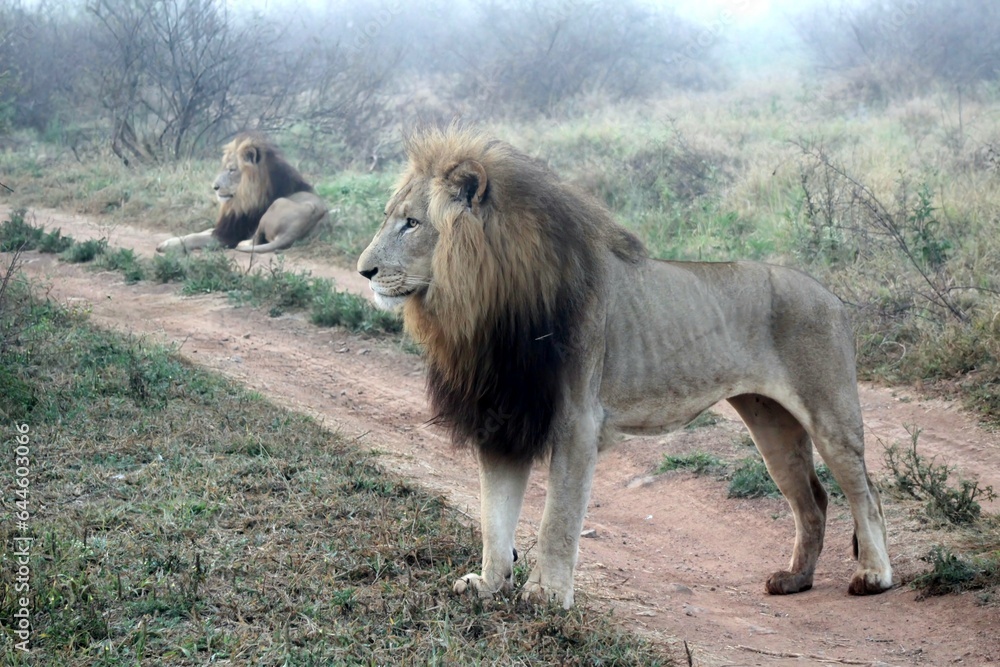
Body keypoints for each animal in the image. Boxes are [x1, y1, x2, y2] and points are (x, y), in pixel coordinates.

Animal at [156, 133, 327, 254]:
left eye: (232, 170)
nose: (214, 187)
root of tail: (293, 231)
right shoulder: (225, 227)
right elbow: (202, 231)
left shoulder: (228, 236)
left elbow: (195, 237)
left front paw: (167, 245)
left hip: (276, 204)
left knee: (256, 240)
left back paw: (243, 243)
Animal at [357, 127, 893, 609]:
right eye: (390, 219)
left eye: (411, 223)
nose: (364, 271)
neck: (484, 307)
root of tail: (834, 298)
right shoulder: (503, 417)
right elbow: (494, 515)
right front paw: (490, 586)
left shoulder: (576, 422)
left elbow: (556, 520)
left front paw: (547, 596)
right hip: (770, 422)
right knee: (812, 500)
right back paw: (795, 579)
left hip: (830, 413)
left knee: (866, 493)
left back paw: (873, 576)